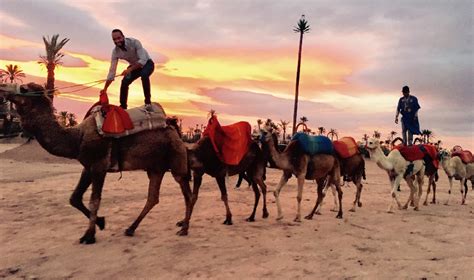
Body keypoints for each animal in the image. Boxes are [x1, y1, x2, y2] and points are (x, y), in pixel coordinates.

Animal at [3, 82, 193, 243]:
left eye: (24, 88)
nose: (3, 87)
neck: (77, 138)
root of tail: (174, 129)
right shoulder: (88, 167)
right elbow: (74, 198)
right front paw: (101, 222)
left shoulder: (99, 166)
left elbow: (94, 200)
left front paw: (89, 235)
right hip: (155, 167)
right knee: (153, 197)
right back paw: (131, 228)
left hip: (176, 160)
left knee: (187, 193)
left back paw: (184, 229)